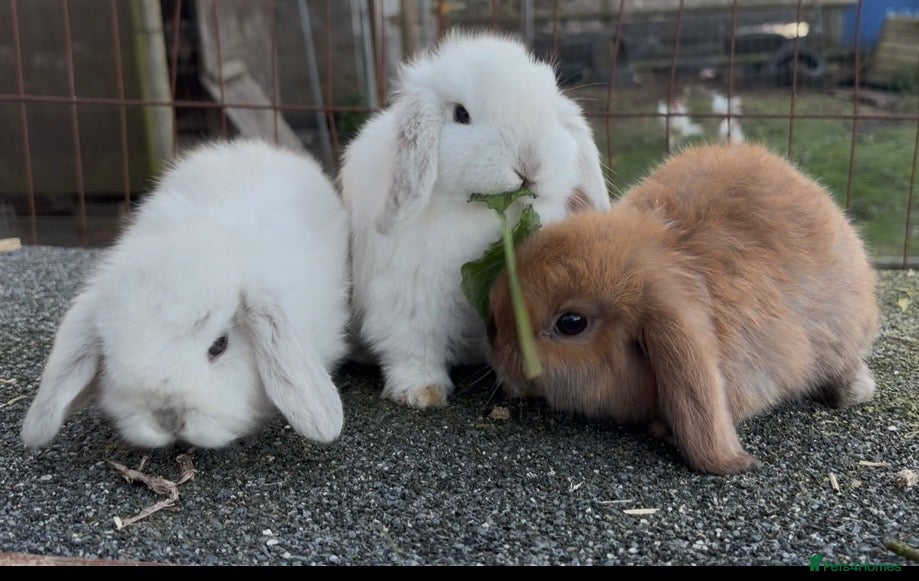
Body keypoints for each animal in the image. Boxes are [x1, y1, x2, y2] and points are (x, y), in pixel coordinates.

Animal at [339, 30, 611, 409]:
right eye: (461, 114)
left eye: (550, 112)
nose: (530, 164)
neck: (477, 211)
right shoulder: (409, 298)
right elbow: (413, 347)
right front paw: (421, 392)